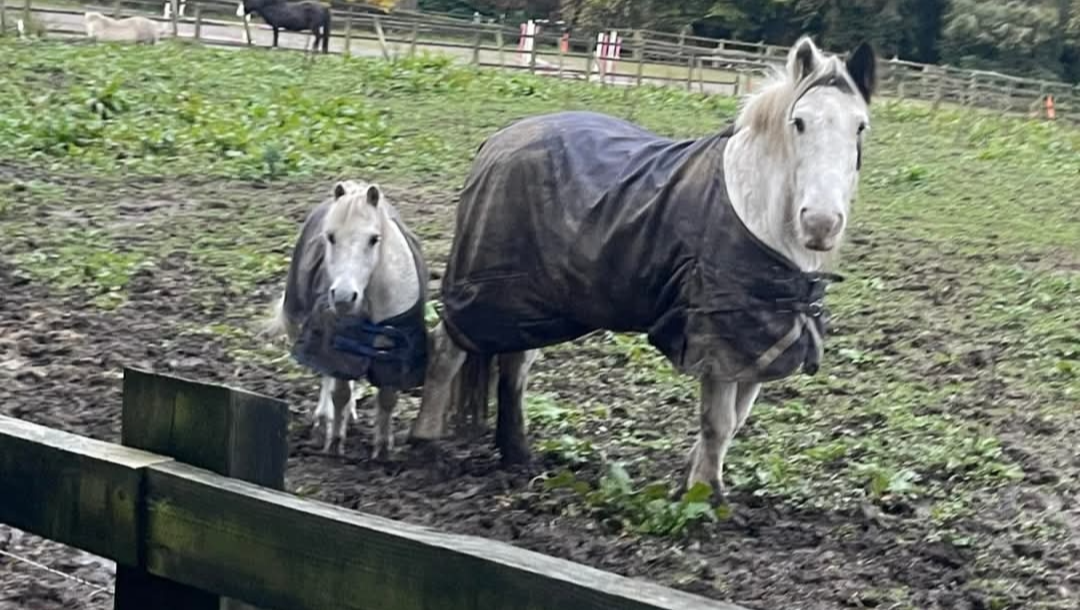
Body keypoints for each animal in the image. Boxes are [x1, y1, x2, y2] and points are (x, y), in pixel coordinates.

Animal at [264, 180, 428, 458]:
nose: (342, 296)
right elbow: (338, 390)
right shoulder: (338, 342)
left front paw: (383, 448)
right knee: (327, 376)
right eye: (330, 237)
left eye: (374, 239)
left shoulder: (394, 353)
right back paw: (324, 421)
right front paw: (334, 442)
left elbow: (387, 398)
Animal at [409, 36, 877, 498]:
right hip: (486, 292)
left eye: (860, 126)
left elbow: (733, 424)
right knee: (448, 352)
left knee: (515, 364)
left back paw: (516, 454)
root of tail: (501, 139)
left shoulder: (762, 344)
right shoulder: (717, 342)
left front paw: (690, 484)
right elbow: (718, 422)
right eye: (799, 122)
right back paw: (425, 446)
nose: (820, 224)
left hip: (532, 300)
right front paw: (706, 498)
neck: (755, 213)